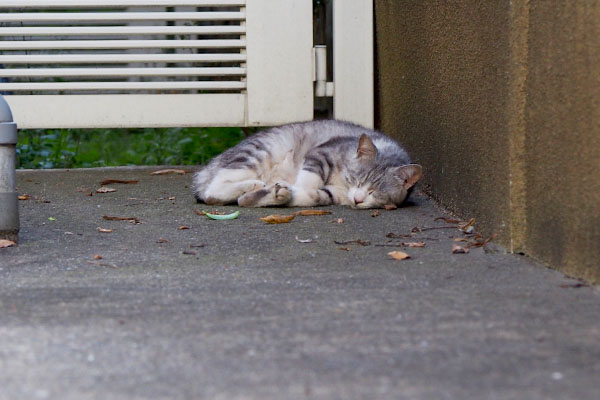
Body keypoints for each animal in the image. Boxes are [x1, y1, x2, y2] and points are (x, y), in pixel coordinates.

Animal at [192, 119, 422, 209]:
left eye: (376, 192)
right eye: (357, 179)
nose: (358, 199)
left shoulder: (332, 194)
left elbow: (312, 196)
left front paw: (276, 195)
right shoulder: (321, 153)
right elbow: (309, 179)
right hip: (256, 153)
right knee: (213, 190)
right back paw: (253, 184)